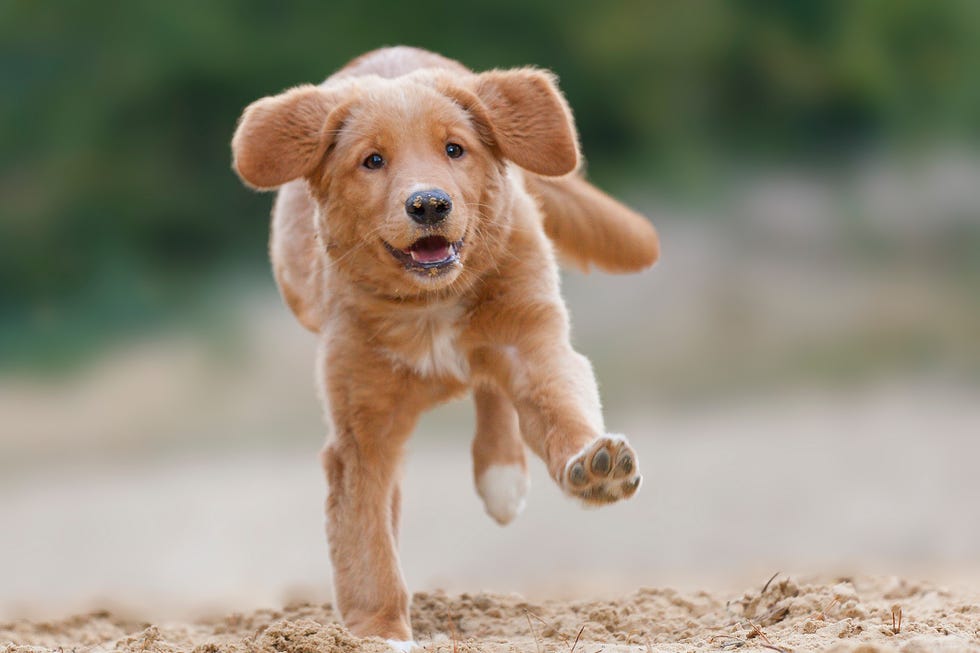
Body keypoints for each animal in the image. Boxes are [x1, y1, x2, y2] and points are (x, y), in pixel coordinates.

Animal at [231, 47, 660, 652]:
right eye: (372, 161)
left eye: (455, 149)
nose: (429, 204)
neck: (430, 305)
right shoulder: (361, 427)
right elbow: (366, 536)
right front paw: (380, 632)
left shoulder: (536, 344)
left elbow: (560, 409)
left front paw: (595, 465)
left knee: (494, 390)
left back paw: (503, 475)